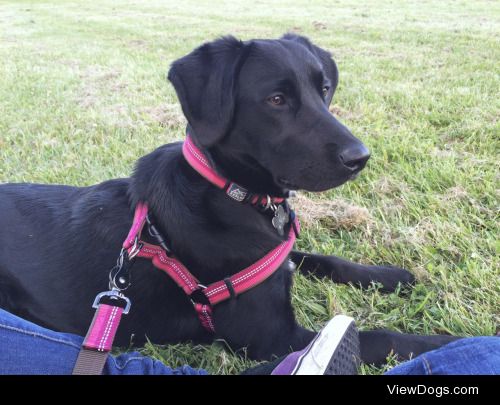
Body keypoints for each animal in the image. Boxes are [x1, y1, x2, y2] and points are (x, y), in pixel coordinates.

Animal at [0, 34, 458, 362]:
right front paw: (449, 345)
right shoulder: (277, 338)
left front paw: (387, 275)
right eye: (277, 100)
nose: (360, 158)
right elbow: (379, 338)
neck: (231, 195)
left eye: (324, 88)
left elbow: (320, 258)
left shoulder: (277, 256)